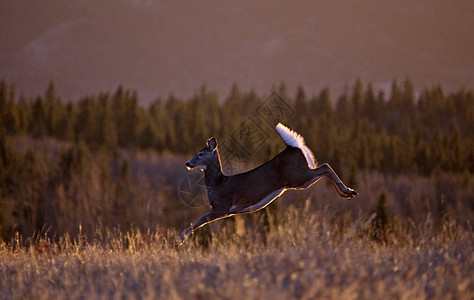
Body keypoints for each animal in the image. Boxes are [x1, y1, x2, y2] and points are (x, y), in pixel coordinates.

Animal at [179, 123, 360, 245]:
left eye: (200, 154)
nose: (188, 163)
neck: (217, 184)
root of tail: (292, 148)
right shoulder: (225, 211)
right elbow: (199, 221)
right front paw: (182, 238)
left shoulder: (221, 207)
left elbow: (199, 220)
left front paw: (181, 238)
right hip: (300, 178)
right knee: (324, 167)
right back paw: (347, 193)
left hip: (299, 176)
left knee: (325, 166)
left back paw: (348, 191)